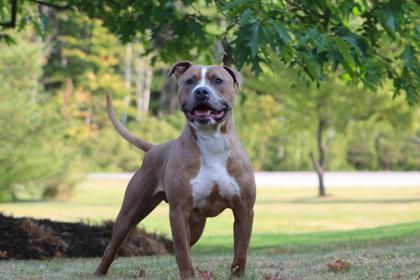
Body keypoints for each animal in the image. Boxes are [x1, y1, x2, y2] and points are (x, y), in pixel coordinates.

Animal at [94, 61, 256, 278]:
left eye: (218, 80)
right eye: (189, 81)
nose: (201, 91)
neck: (211, 141)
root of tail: (154, 148)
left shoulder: (244, 210)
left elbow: (241, 250)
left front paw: (237, 274)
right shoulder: (178, 212)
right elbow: (183, 251)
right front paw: (188, 275)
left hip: (197, 223)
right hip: (129, 213)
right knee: (112, 246)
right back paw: (99, 272)